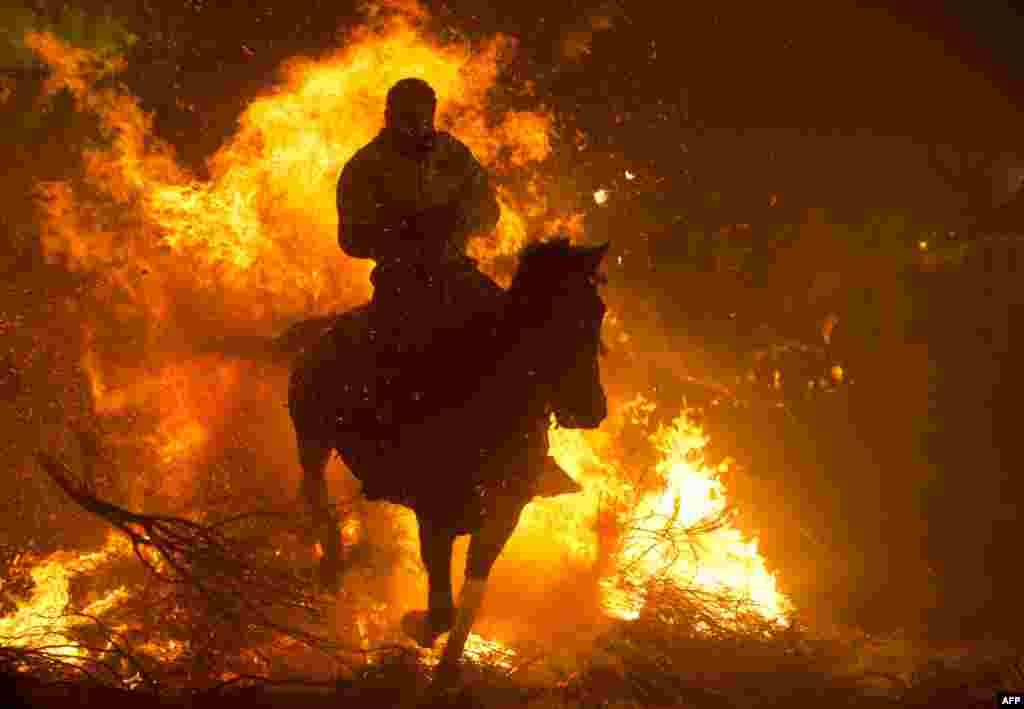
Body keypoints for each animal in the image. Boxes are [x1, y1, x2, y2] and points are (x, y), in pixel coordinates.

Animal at [286, 237, 606, 672]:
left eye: (598, 311)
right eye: (559, 318)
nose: (594, 410)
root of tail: (321, 330)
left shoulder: (500, 522)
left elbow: (470, 601)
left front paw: (448, 671)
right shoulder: (434, 520)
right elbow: (443, 609)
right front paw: (415, 625)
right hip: (312, 432)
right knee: (315, 483)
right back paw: (331, 562)